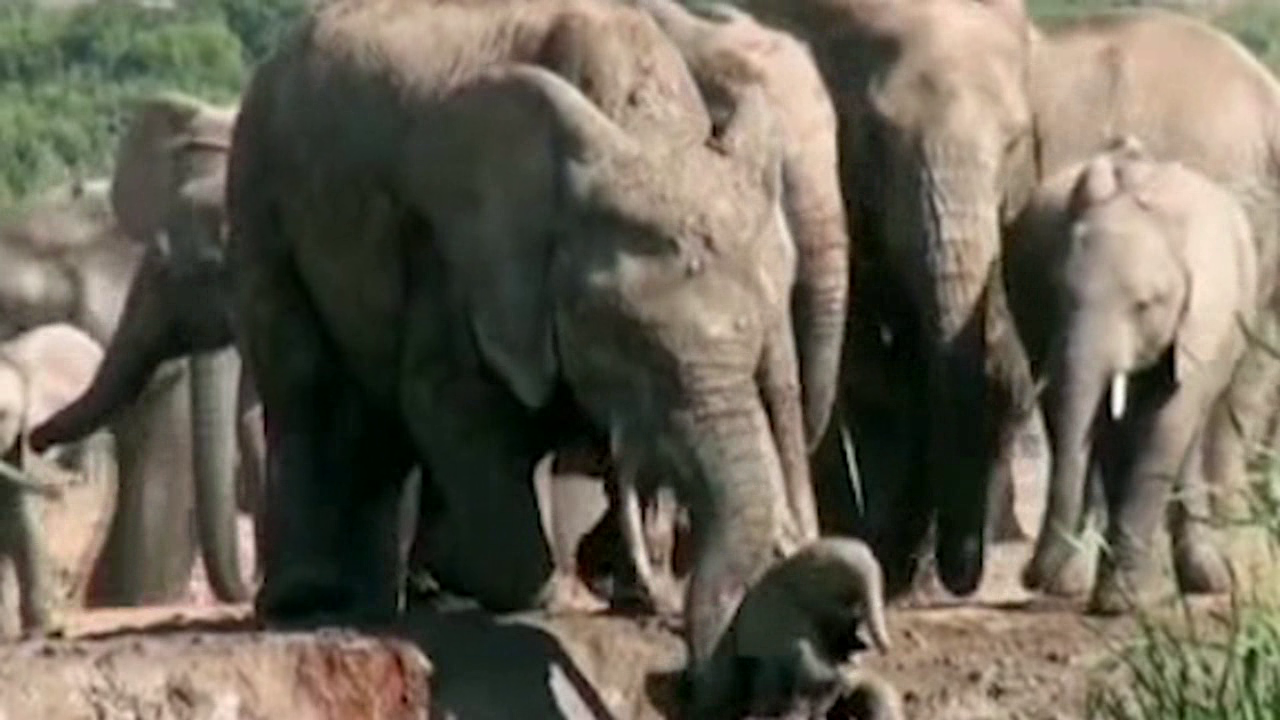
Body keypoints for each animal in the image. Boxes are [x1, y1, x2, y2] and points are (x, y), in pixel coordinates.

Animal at [226, 0, 814, 676]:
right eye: (622, 340)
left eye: (759, 341)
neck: (645, 131)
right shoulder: (461, 249)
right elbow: (447, 399)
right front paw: (527, 589)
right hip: (258, 195)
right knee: (306, 387)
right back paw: (313, 601)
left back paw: (387, 600)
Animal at [737, 0, 1044, 597]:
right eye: (876, 137)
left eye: (1015, 143)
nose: (962, 574)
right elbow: (864, 369)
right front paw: (877, 560)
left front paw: (905, 572)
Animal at [1008, 135, 1259, 609]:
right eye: (1057, 293)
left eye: (1145, 305)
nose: (1028, 577)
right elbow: (1098, 424)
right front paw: (1114, 597)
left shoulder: (1202, 319)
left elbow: (1167, 424)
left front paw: (1120, 603)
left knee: (1187, 427)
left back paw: (1208, 580)